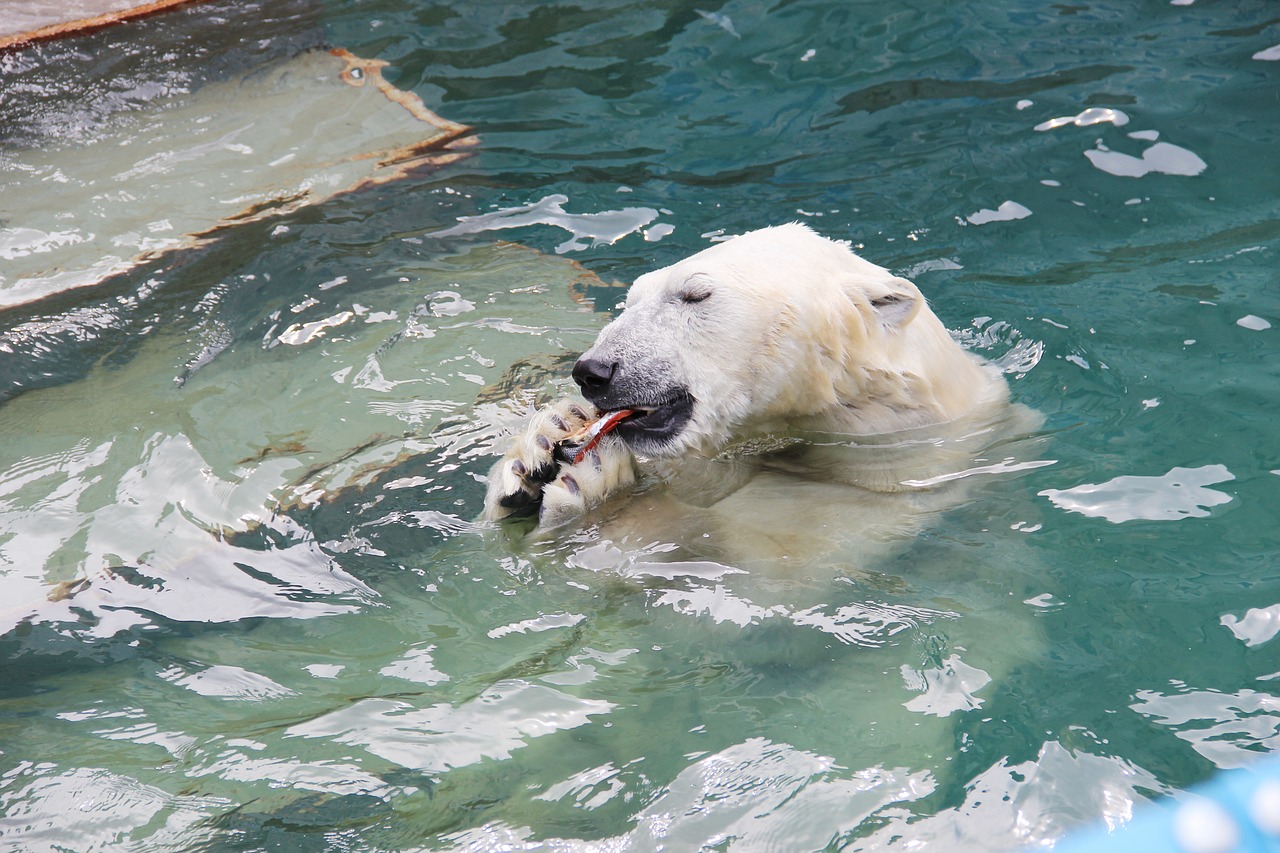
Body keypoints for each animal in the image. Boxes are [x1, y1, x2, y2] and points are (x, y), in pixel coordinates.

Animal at [483, 224, 1024, 545]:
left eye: (694, 295)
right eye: (631, 299)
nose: (593, 371)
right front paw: (539, 448)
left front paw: (593, 486)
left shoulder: (888, 486)